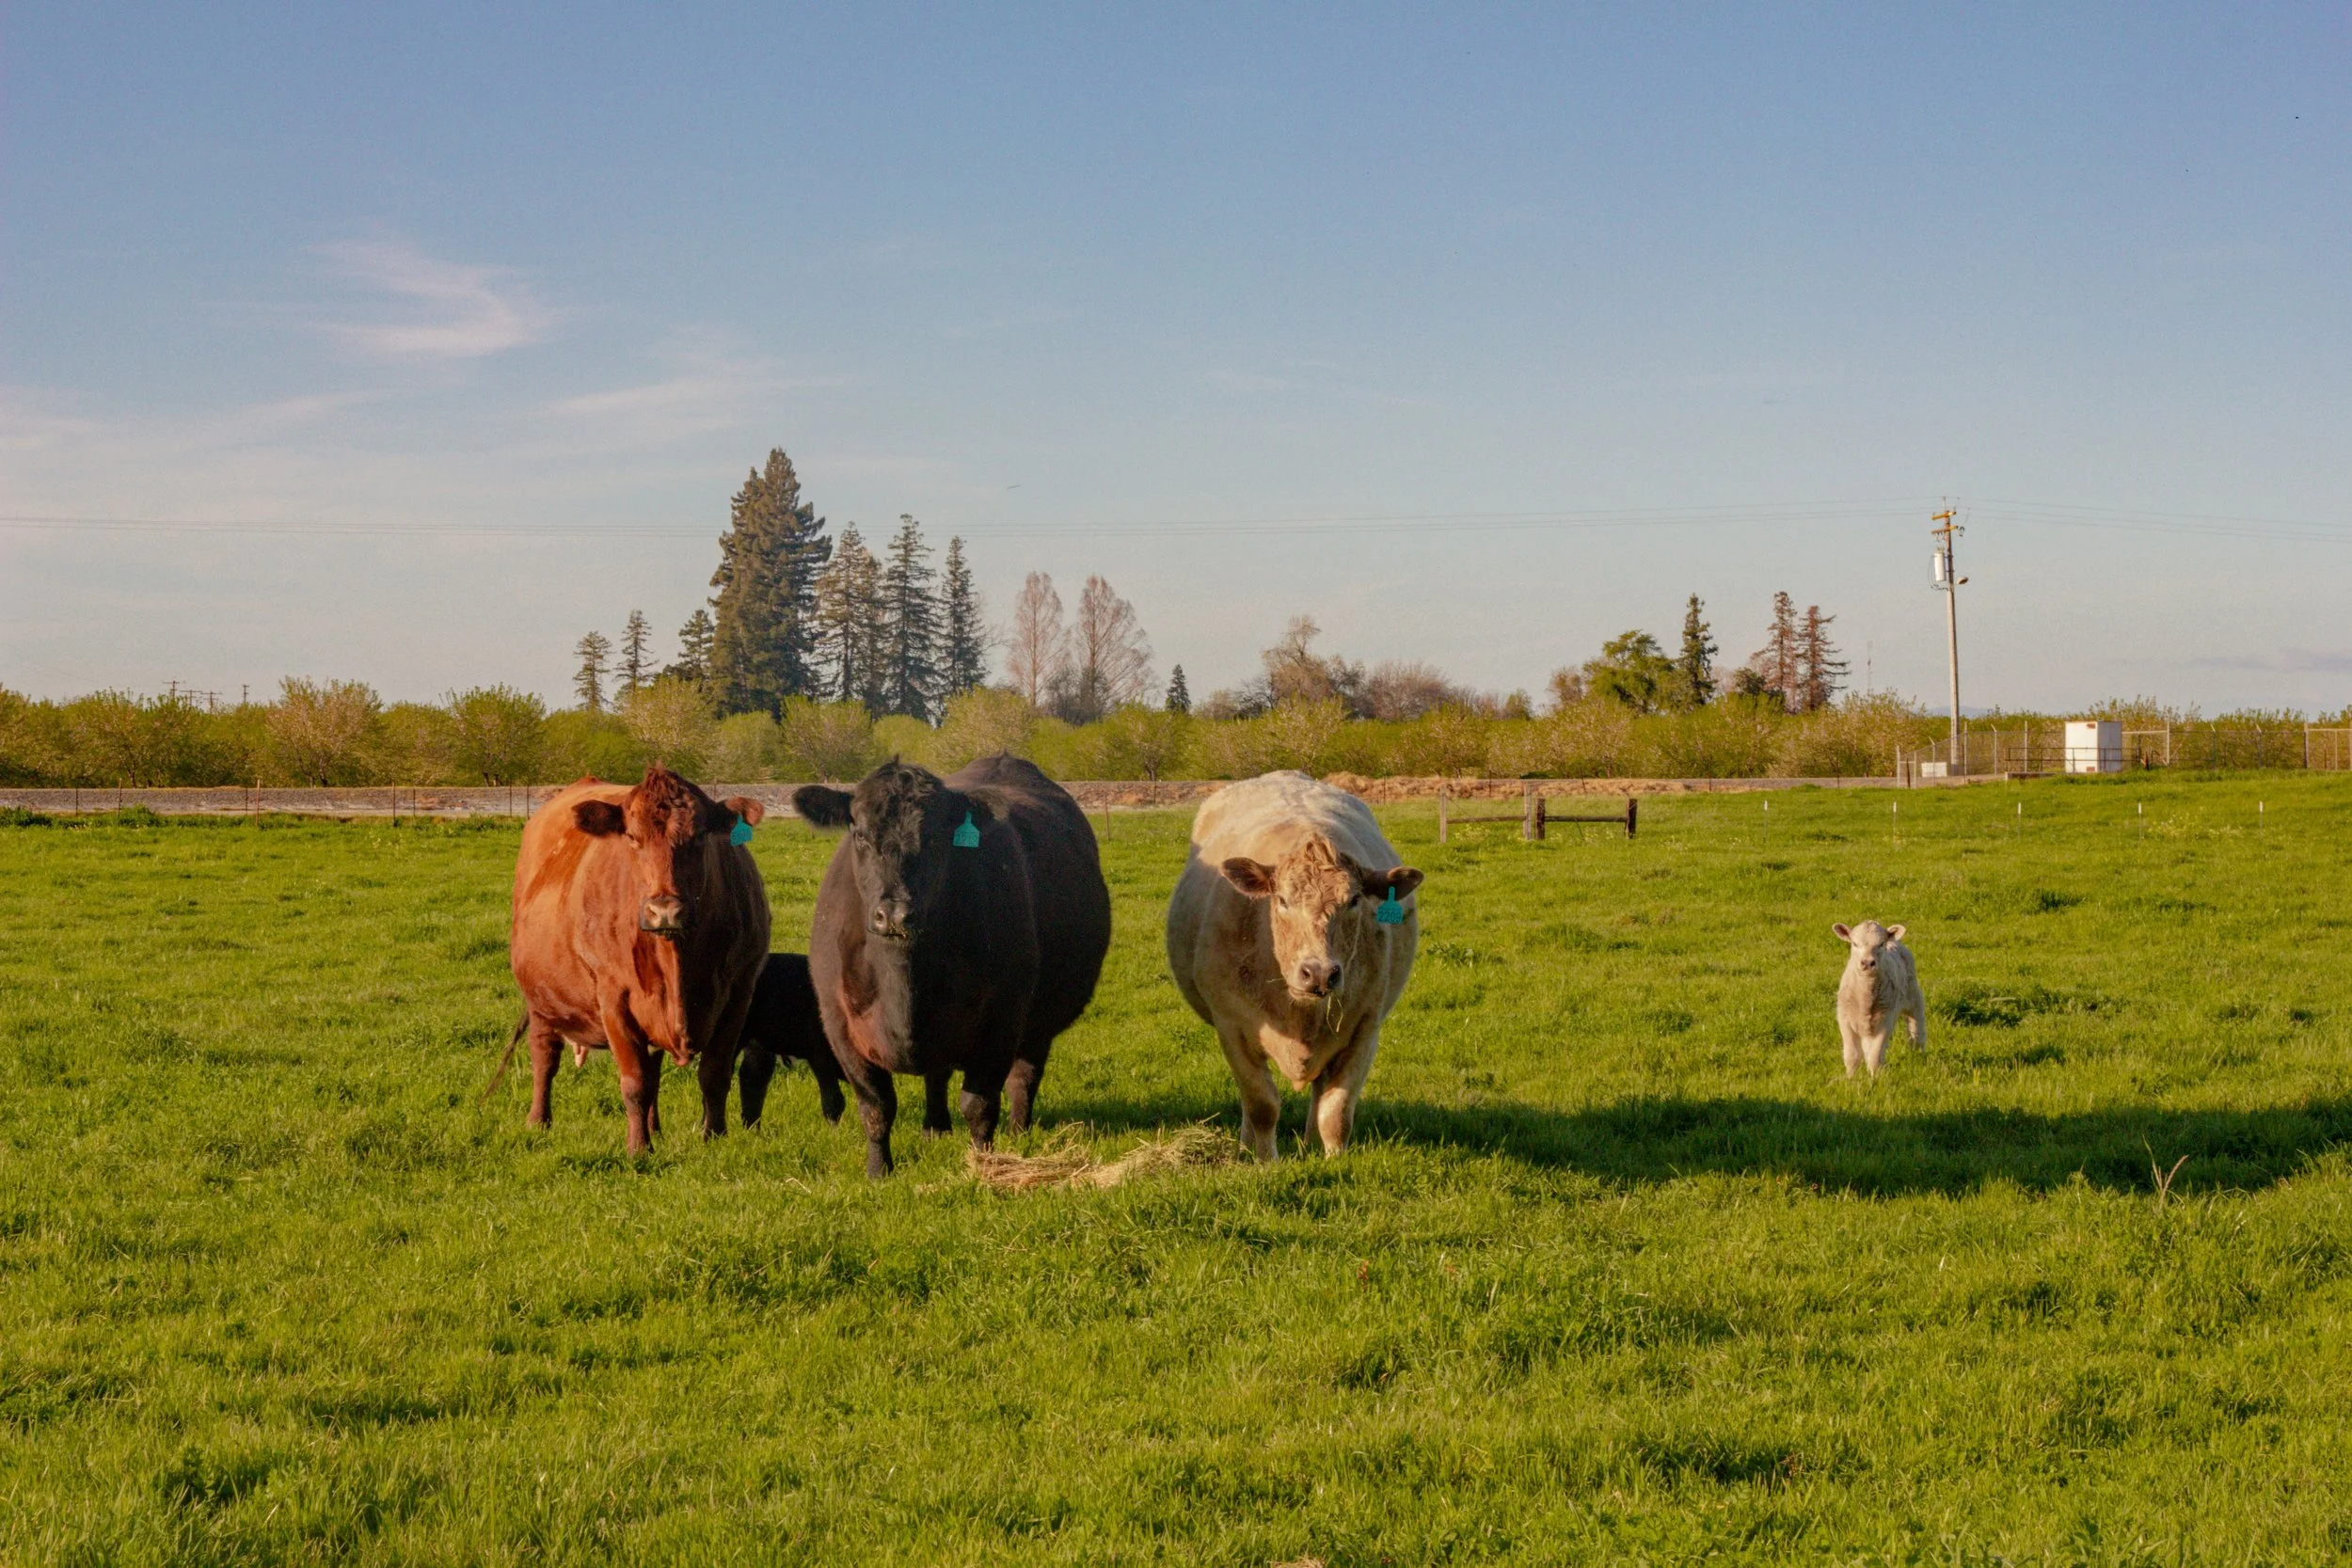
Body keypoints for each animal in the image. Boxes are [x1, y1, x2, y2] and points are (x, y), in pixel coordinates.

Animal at [508, 765, 771, 1152]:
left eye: (699, 836)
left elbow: (714, 1075)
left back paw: (656, 1128)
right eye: (632, 837)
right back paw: (538, 1122)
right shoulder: (614, 998)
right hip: (541, 1000)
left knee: (655, 1068)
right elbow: (634, 1083)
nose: (665, 911)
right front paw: (638, 1149)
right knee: (545, 1057)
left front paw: (714, 1137)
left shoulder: (739, 993)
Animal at [793, 755, 1112, 1177]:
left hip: (1038, 1021)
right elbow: (876, 1107)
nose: (894, 914)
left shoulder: (1001, 1021)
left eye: (934, 839)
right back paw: (934, 1128)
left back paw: (1018, 1131)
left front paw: (983, 1164)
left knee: (1024, 1077)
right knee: (937, 1072)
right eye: (859, 835)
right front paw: (878, 1171)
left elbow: (979, 1106)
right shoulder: (841, 1026)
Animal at [1165, 770, 1423, 1159]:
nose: (1319, 972)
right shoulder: (1231, 1025)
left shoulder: (1365, 1027)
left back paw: (1311, 1143)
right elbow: (1262, 1105)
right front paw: (1265, 1161)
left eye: (1355, 900)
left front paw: (1335, 1161)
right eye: (1282, 900)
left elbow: (1336, 1111)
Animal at [1833, 920, 1925, 1077]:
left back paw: (1918, 1053)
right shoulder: (1844, 1020)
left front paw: (1875, 1079)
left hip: (1914, 998)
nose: (1867, 963)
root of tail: (1895, 942)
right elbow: (1852, 1056)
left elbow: (1875, 1057)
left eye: (1881, 944)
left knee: (1916, 1027)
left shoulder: (1886, 1020)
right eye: (1854, 944)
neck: (1865, 999)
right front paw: (1851, 1078)